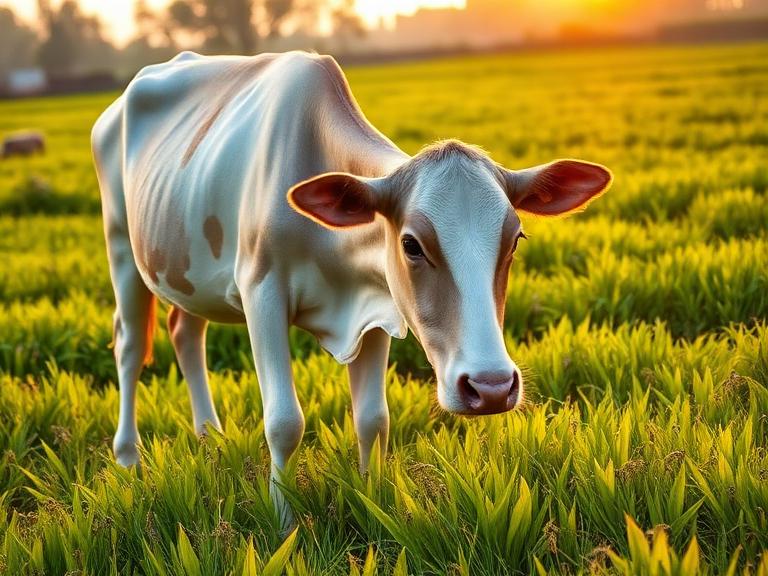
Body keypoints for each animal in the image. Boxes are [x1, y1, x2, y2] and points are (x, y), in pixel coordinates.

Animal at [91, 51, 611, 529]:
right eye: (411, 244)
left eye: (515, 239)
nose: (492, 387)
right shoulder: (261, 292)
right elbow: (284, 421)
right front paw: (284, 524)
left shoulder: (378, 308)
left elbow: (373, 419)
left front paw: (374, 502)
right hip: (121, 246)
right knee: (131, 346)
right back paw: (128, 458)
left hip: (186, 270)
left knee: (185, 331)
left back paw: (210, 438)